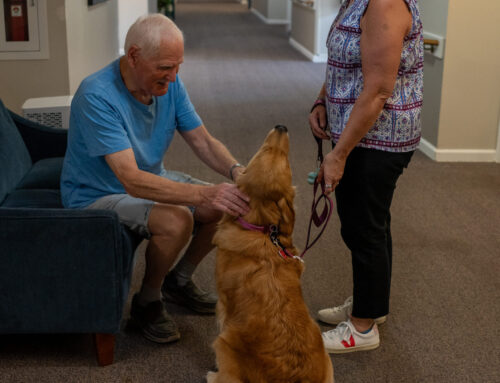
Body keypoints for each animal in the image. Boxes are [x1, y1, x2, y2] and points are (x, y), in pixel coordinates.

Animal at [207, 126, 332, 383]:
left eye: (285, 159)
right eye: (266, 150)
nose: (282, 126)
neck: (261, 230)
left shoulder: (223, 304)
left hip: (223, 343)